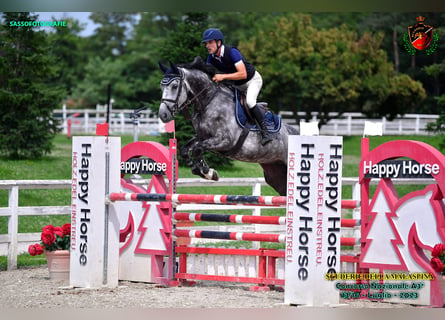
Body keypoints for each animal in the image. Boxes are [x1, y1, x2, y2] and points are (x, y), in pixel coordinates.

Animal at [157, 57, 298, 195]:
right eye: (161, 87)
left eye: (175, 86)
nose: (163, 115)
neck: (208, 101)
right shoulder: (202, 137)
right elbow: (185, 149)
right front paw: (201, 171)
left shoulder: (226, 141)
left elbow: (197, 149)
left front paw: (208, 172)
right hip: (275, 173)